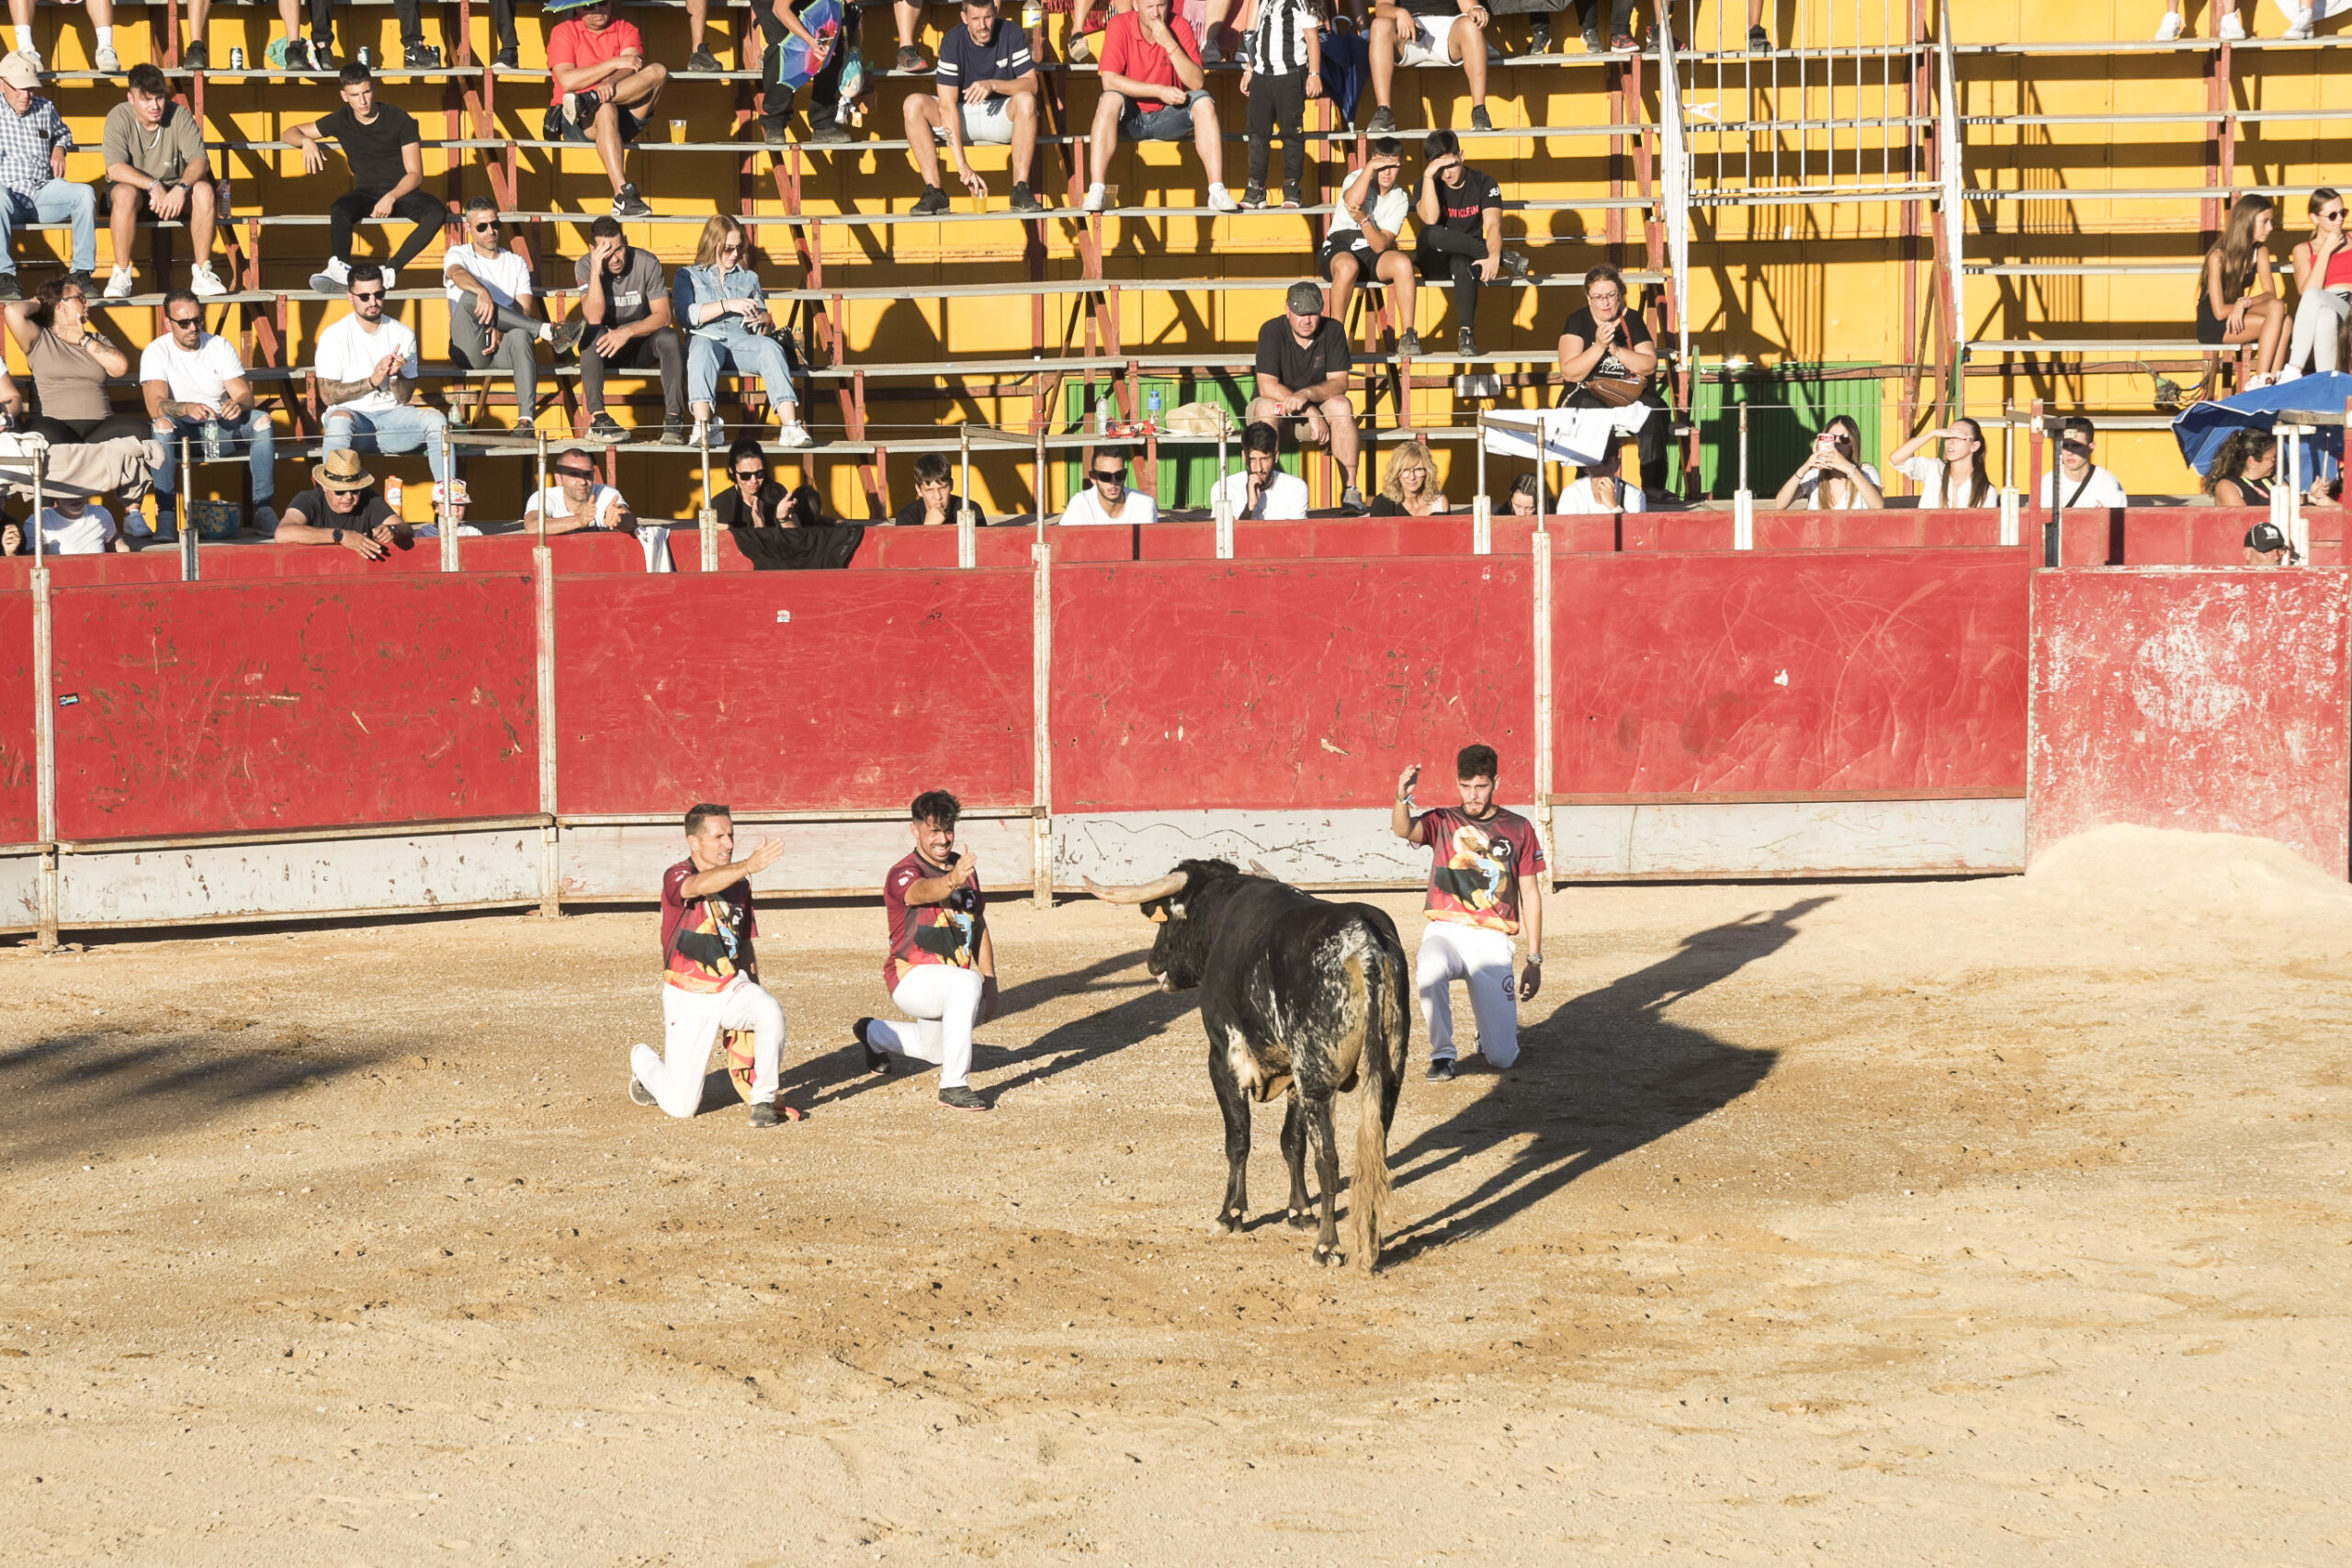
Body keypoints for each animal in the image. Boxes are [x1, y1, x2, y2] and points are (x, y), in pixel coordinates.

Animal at [1086, 864, 1411, 1269]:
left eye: (1167, 920)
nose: (1152, 964)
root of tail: (1363, 941)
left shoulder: (1225, 1061)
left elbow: (1238, 1140)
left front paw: (1231, 1214)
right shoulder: (1292, 1076)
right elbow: (1291, 1142)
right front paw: (1300, 1212)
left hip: (1317, 1080)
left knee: (1329, 1162)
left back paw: (1327, 1247)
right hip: (1388, 1076)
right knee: (1374, 1156)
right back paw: (1371, 1242)